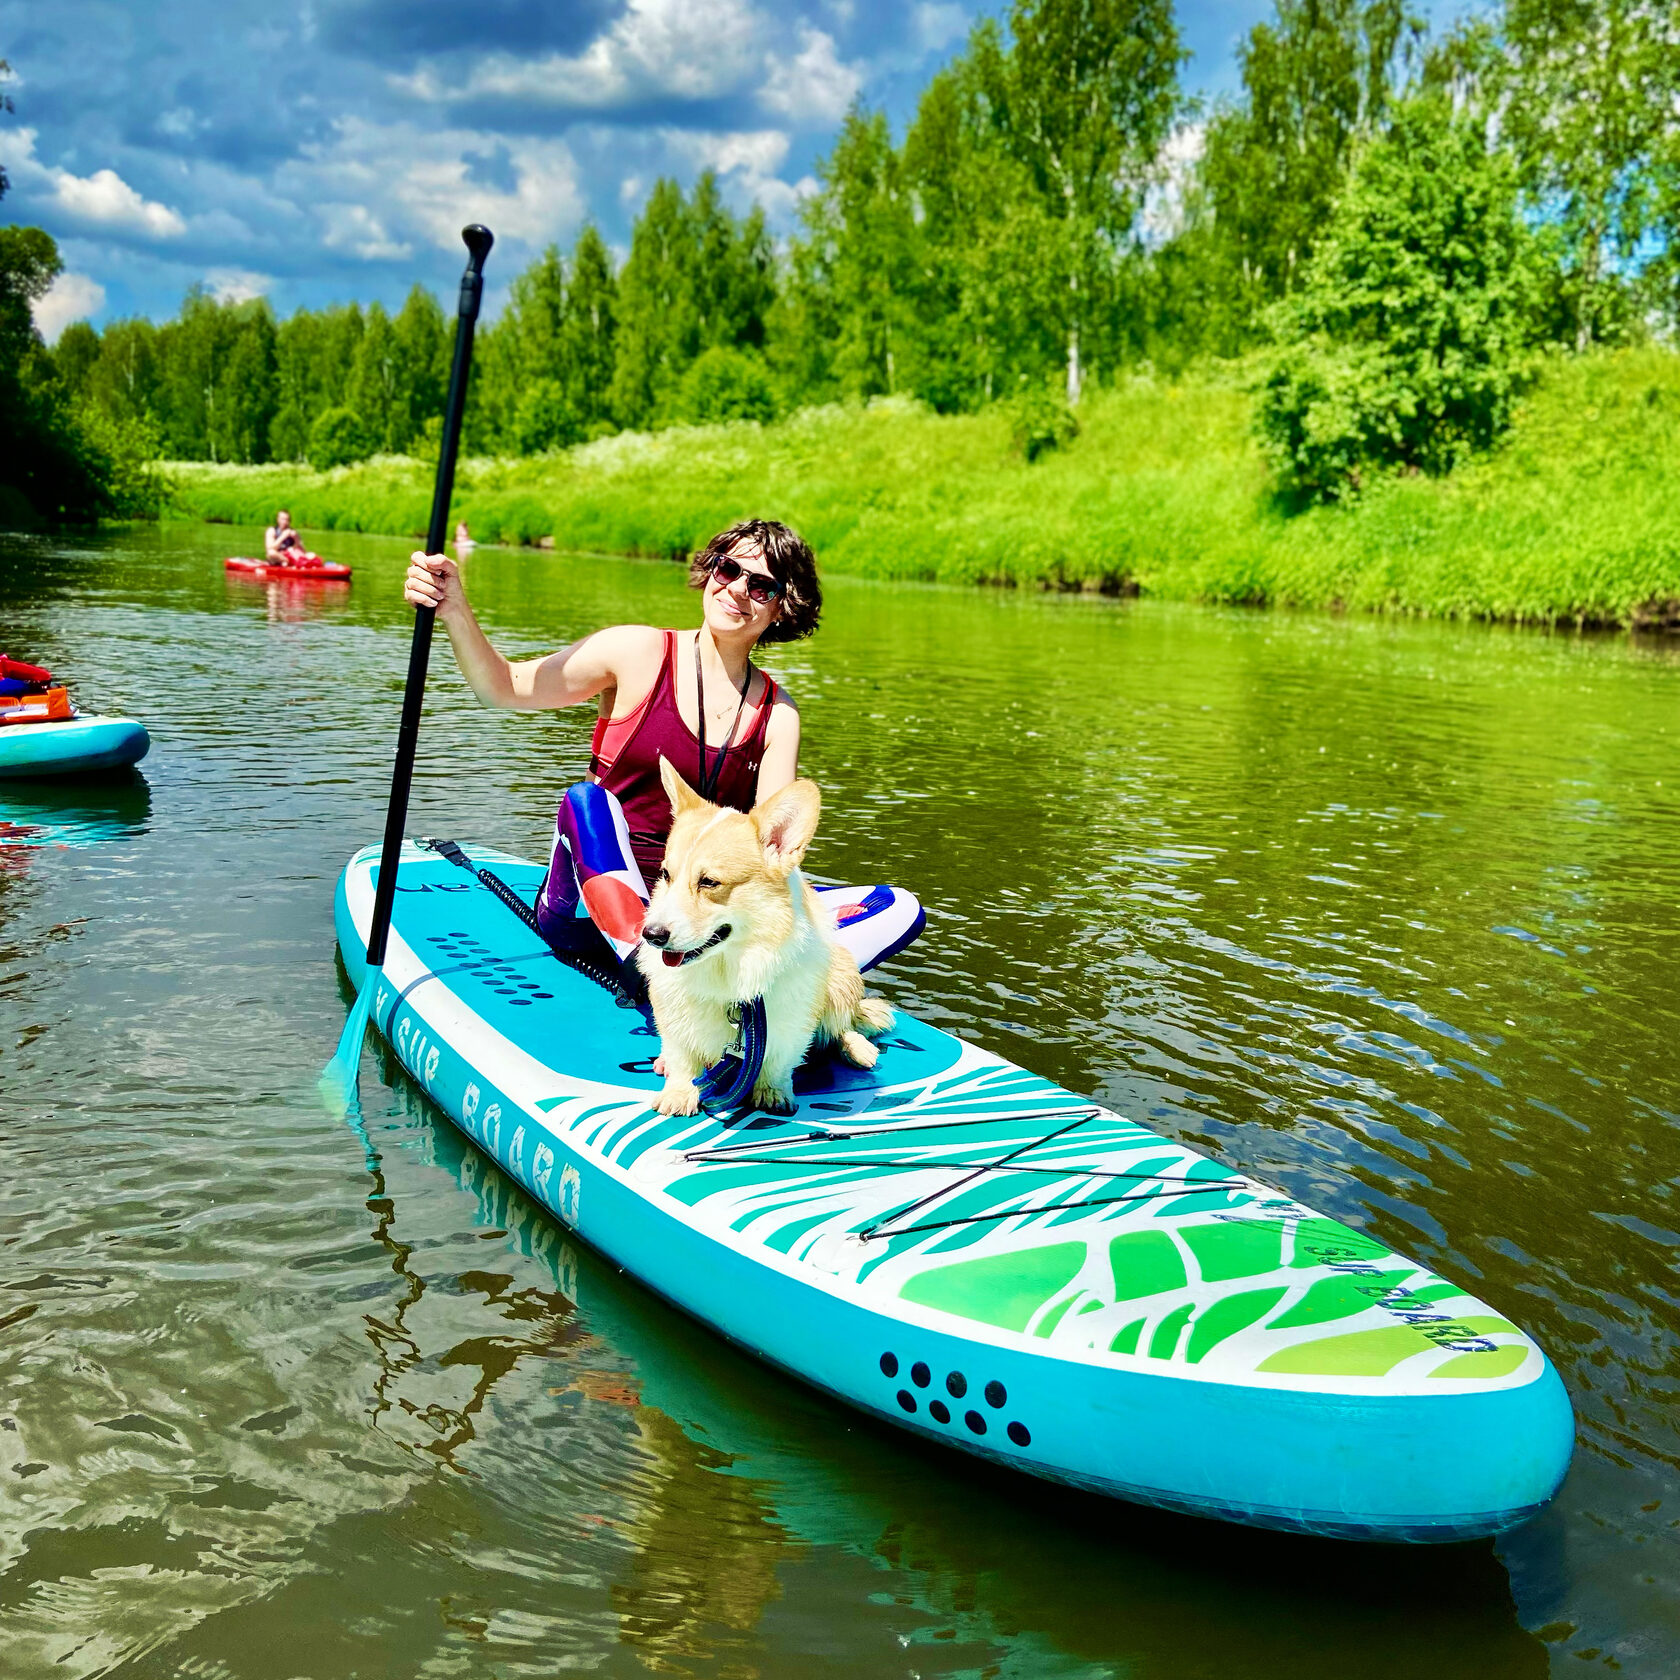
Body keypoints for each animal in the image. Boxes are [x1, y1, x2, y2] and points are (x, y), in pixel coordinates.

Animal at [635, 762, 893, 1115]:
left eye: (709, 882)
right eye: (665, 875)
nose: (651, 935)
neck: (728, 968)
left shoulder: (790, 1020)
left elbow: (780, 1061)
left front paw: (772, 1093)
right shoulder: (673, 1012)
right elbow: (682, 1056)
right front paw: (678, 1092)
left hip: (841, 974)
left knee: (843, 1024)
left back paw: (859, 1048)